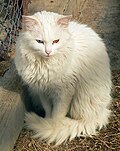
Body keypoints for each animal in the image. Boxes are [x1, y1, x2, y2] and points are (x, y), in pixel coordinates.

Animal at [14, 10, 111, 145]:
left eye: (56, 41)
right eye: (39, 42)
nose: (48, 52)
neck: (45, 65)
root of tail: (103, 112)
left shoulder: (64, 93)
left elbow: (57, 115)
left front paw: (51, 127)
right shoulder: (42, 91)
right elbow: (48, 110)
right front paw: (47, 121)